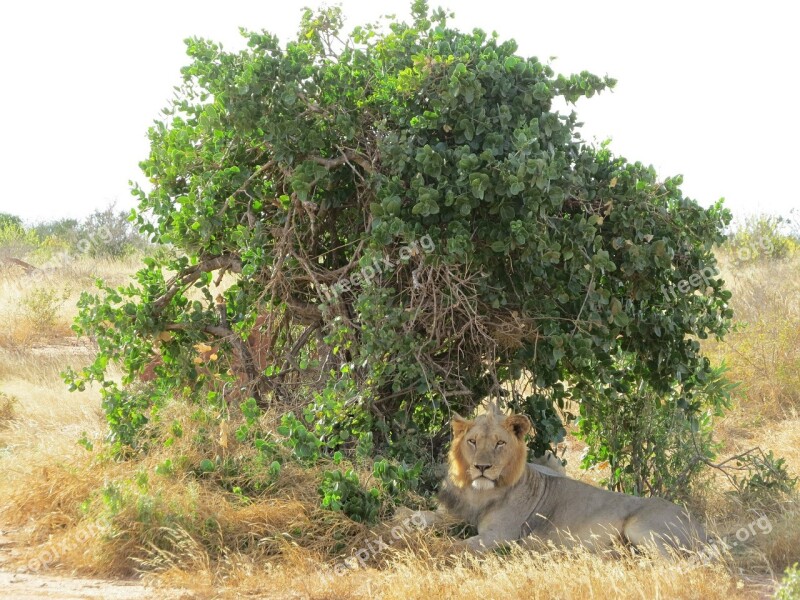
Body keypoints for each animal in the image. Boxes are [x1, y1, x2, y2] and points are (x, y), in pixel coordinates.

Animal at [424, 406, 708, 556]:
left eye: (500, 443)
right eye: (472, 441)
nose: (481, 467)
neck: (481, 492)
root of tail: (698, 524)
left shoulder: (502, 535)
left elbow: (453, 547)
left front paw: (431, 552)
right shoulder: (455, 515)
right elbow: (429, 519)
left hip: (642, 528)